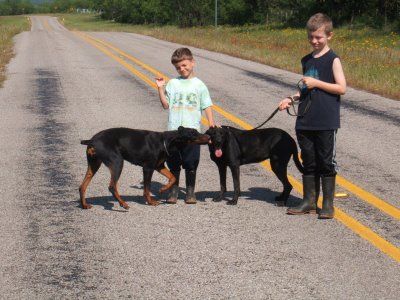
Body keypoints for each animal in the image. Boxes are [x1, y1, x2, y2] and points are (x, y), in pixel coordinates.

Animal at [78, 126, 209, 209]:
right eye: (193, 133)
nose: (208, 136)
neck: (165, 141)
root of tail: (91, 141)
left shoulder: (159, 166)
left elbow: (173, 177)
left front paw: (163, 189)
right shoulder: (148, 168)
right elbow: (147, 187)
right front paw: (150, 201)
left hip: (94, 164)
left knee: (82, 186)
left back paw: (84, 205)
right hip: (117, 162)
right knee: (112, 186)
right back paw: (123, 204)